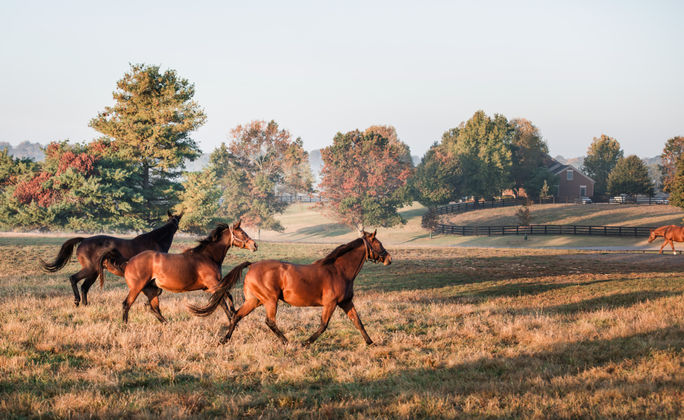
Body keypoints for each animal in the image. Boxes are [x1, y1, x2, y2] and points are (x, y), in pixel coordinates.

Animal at [41, 210, 183, 306]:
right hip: (91, 269)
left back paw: (85, 305)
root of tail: (84, 240)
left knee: (84, 287)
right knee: (73, 279)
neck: (155, 240)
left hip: (94, 272)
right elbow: (158, 291)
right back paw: (77, 301)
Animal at [104, 221, 256, 324]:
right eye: (242, 233)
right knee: (127, 304)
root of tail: (129, 262)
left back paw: (166, 323)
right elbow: (223, 301)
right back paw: (125, 325)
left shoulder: (211, 287)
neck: (207, 257)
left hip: (153, 290)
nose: (254, 245)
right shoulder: (213, 285)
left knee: (153, 308)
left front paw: (234, 314)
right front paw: (232, 319)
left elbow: (227, 297)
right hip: (137, 288)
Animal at [188, 231, 390, 346]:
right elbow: (323, 325)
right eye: (379, 243)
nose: (389, 258)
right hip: (270, 300)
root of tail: (252, 265)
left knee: (236, 315)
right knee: (269, 321)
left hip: (255, 300)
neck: (338, 270)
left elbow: (358, 322)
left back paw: (224, 340)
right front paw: (306, 343)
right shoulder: (331, 304)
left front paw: (370, 343)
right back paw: (287, 342)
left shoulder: (346, 302)